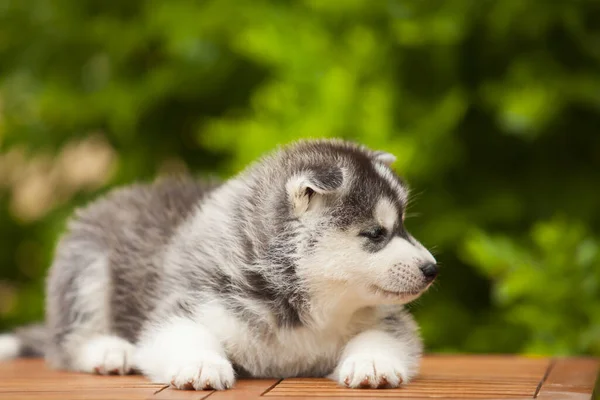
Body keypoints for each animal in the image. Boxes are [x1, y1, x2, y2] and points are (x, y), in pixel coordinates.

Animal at [2, 139, 438, 390]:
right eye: (376, 234)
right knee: (68, 341)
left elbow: (383, 336)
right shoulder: (188, 304)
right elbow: (184, 334)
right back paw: (110, 352)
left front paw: (372, 361)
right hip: (86, 267)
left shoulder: (387, 318)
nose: (433, 269)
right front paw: (200, 365)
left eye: (403, 225)